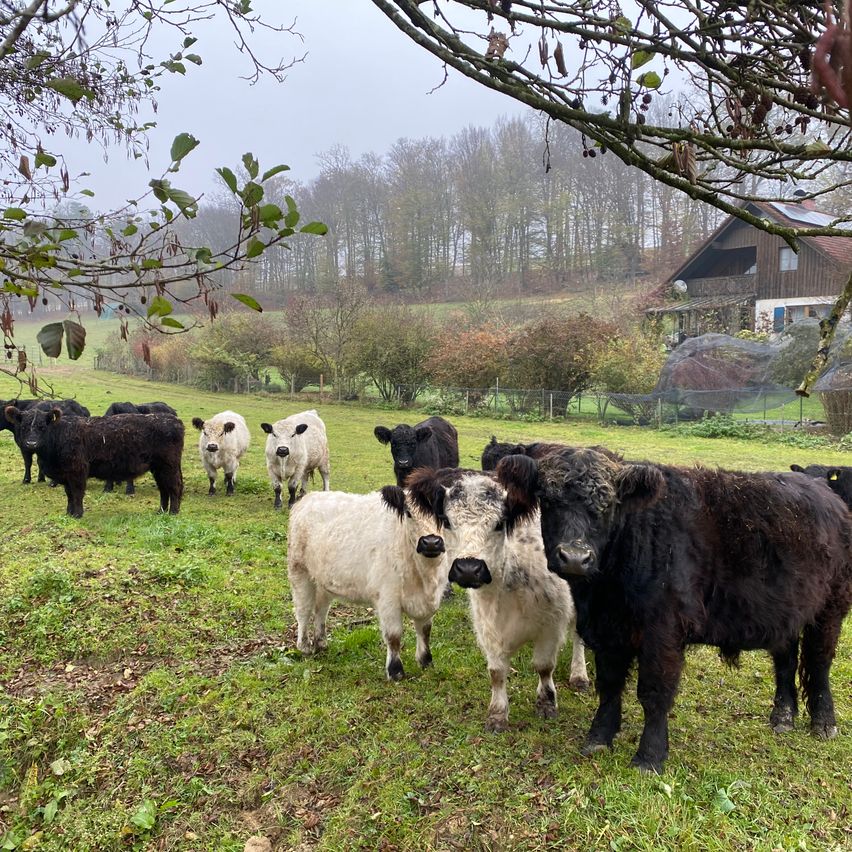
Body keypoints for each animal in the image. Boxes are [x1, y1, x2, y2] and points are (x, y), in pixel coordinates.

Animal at [3, 406, 183, 518]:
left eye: (42, 426)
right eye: (24, 426)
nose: (31, 444)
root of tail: (173, 419)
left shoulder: (77, 471)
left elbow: (77, 493)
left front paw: (77, 514)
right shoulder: (66, 475)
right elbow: (69, 494)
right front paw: (69, 513)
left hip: (169, 466)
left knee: (174, 487)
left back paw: (173, 512)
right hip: (158, 468)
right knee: (164, 489)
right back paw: (161, 511)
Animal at [287, 487, 448, 680]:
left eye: (442, 512)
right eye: (409, 513)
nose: (431, 543)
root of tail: (309, 497)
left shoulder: (430, 598)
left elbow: (425, 630)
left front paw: (426, 661)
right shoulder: (387, 597)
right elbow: (394, 636)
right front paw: (395, 671)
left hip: (323, 579)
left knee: (320, 609)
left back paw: (321, 642)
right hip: (299, 570)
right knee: (303, 610)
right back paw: (304, 646)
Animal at [406, 466, 588, 731]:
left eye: (500, 523)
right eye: (447, 521)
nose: (469, 568)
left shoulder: (552, 625)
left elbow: (544, 666)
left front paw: (546, 704)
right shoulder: (487, 625)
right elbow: (496, 671)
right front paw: (497, 714)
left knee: (578, 635)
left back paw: (579, 674)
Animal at [497, 448, 852, 773]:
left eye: (609, 503)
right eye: (548, 499)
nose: (574, 557)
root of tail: (825, 491)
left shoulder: (663, 630)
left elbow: (654, 691)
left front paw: (649, 756)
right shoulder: (609, 629)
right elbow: (609, 685)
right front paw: (599, 737)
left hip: (831, 608)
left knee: (819, 662)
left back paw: (824, 722)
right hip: (785, 611)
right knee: (786, 658)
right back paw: (783, 716)